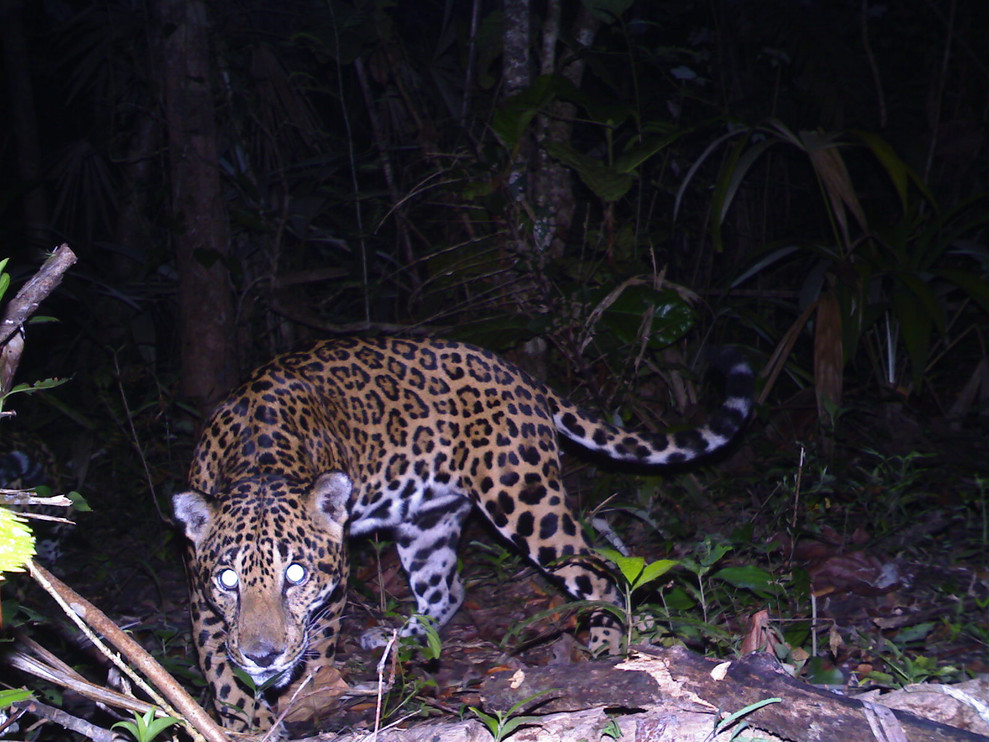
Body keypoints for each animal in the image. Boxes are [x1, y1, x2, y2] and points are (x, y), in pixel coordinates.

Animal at [173, 336, 753, 734]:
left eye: (295, 574)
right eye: (227, 580)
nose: (262, 655)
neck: (258, 464)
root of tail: (515, 371)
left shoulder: (332, 590)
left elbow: (313, 656)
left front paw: (296, 701)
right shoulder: (201, 601)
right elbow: (221, 670)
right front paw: (245, 720)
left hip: (524, 498)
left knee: (600, 573)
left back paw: (606, 654)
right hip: (424, 522)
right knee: (447, 590)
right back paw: (401, 637)